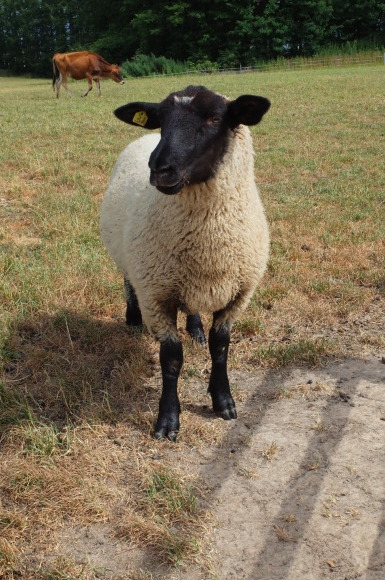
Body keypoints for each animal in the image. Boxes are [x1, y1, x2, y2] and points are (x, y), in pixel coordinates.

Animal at [100, 85, 272, 440]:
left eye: (215, 118)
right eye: (161, 120)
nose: (159, 168)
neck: (208, 247)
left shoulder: (238, 295)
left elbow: (220, 348)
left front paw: (223, 401)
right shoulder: (155, 295)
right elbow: (171, 359)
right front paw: (167, 420)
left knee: (192, 308)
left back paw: (195, 330)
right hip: (132, 260)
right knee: (127, 280)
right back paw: (132, 317)